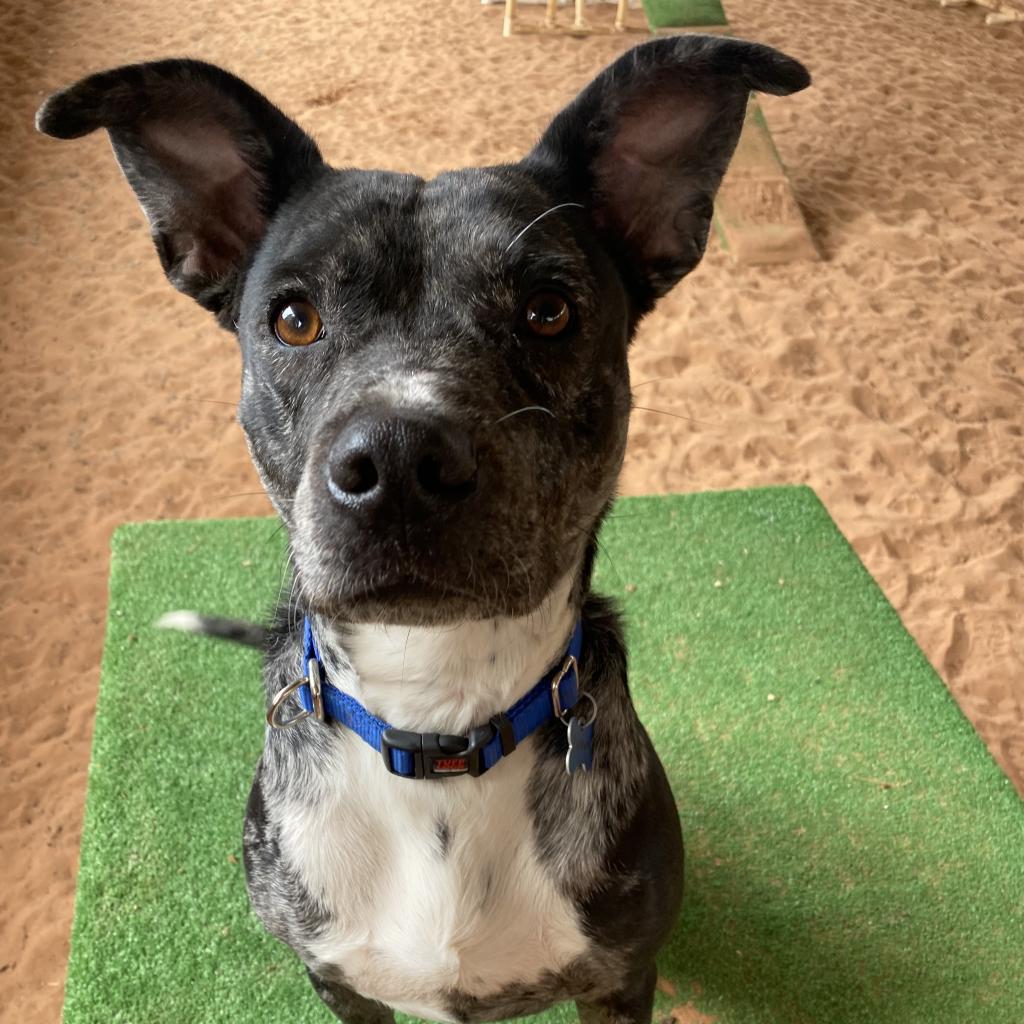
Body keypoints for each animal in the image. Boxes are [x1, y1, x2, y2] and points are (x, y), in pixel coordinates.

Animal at [37, 37, 806, 1024]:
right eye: (293, 318)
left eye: (548, 311)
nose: (399, 463)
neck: (437, 716)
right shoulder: (337, 981)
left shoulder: (620, 980)